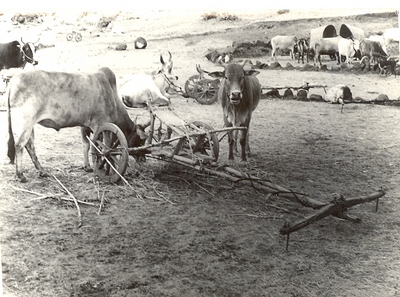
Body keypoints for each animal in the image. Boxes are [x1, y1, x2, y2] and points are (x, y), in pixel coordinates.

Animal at [7, 67, 147, 182]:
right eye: (140, 141)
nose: (143, 160)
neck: (112, 95)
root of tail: (14, 80)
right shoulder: (101, 126)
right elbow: (103, 149)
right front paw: (107, 169)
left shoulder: (85, 126)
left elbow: (86, 145)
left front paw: (87, 166)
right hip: (25, 122)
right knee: (20, 145)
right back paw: (21, 175)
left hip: (29, 125)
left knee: (30, 146)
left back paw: (42, 171)